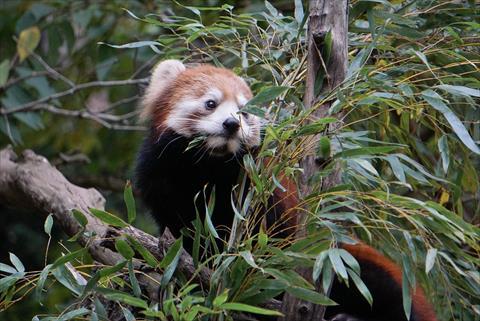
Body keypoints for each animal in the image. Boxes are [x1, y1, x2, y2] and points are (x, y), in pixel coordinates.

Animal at [135, 59, 438, 320]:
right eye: (211, 103)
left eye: (245, 112)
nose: (232, 124)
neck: (206, 166)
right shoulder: (162, 182)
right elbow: (181, 235)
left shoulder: (258, 193)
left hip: (343, 262)